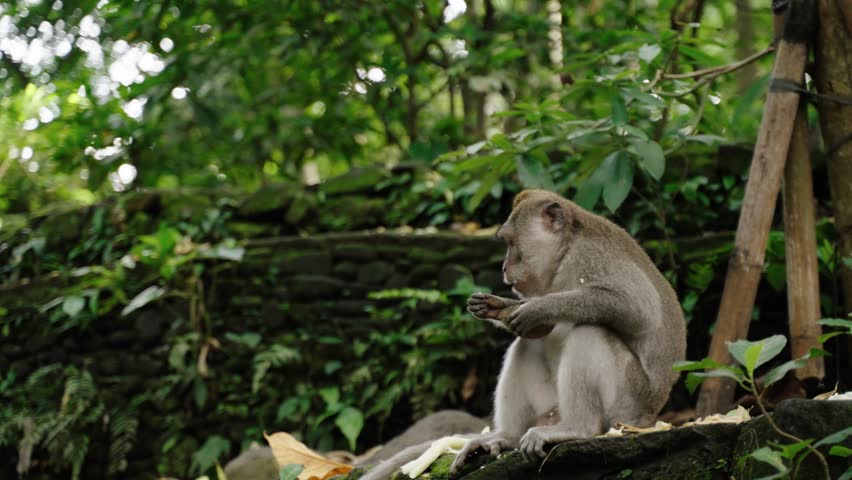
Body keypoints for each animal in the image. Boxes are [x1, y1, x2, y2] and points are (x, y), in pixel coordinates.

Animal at [361, 189, 686, 479]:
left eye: (511, 243)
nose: (504, 267)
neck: (566, 253)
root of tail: (649, 417)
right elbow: (538, 332)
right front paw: (498, 307)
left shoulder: (593, 257)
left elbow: (636, 307)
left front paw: (538, 308)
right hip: (553, 407)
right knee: (527, 345)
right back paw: (506, 437)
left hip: (625, 404)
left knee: (589, 331)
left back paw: (577, 428)